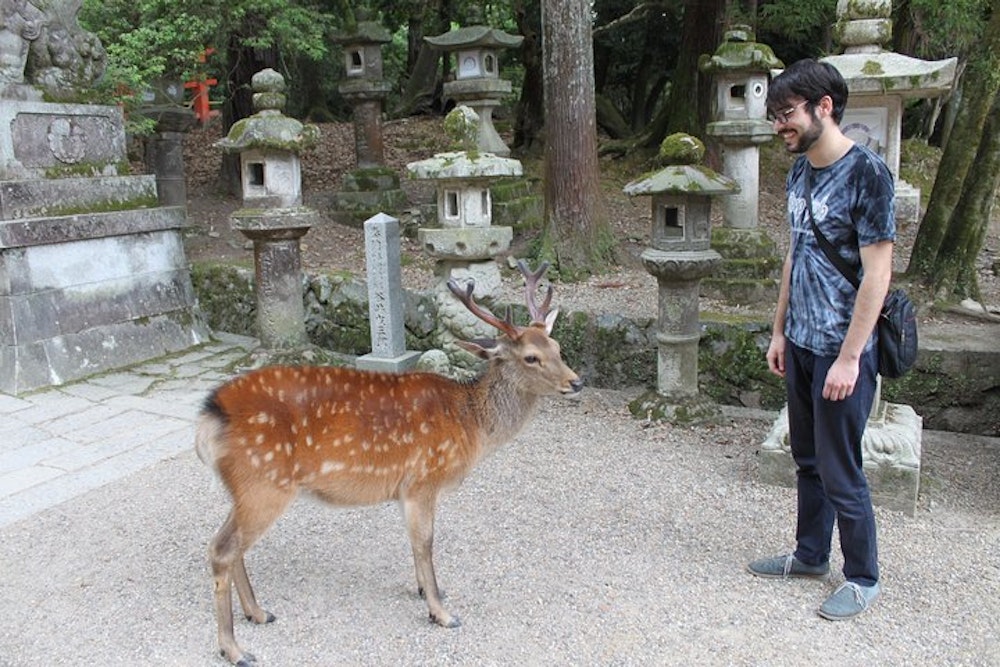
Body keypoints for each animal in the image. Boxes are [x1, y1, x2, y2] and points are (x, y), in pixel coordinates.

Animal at [193, 260, 580, 667]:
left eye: (556, 346)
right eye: (531, 357)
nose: (576, 382)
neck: (470, 424)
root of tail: (209, 416)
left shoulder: (405, 489)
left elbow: (414, 543)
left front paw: (426, 591)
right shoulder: (424, 478)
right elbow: (425, 543)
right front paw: (441, 612)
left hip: (244, 488)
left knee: (227, 545)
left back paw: (258, 612)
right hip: (263, 483)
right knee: (222, 549)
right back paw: (234, 648)